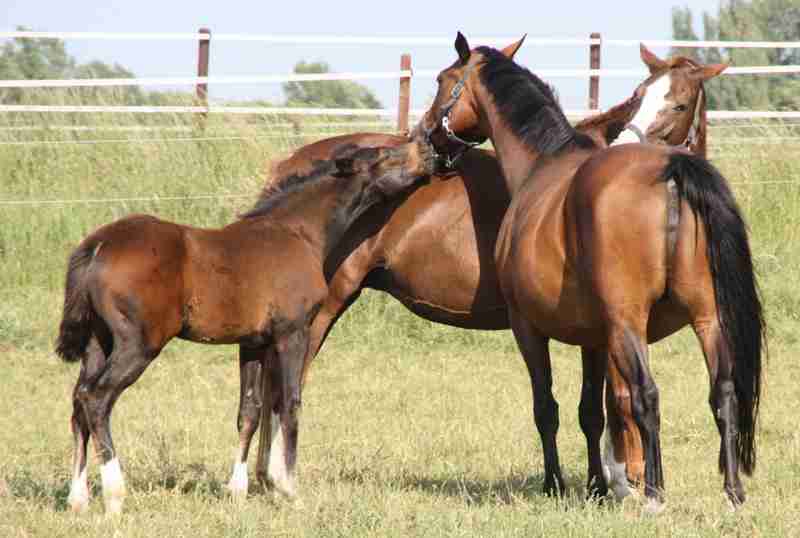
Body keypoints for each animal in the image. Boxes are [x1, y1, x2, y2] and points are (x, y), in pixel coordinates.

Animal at [54, 138, 438, 510]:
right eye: (384, 155)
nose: (429, 150)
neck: (298, 232)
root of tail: (97, 245)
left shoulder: (253, 342)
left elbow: (250, 410)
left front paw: (237, 491)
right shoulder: (293, 333)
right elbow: (290, 402)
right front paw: (289, 488)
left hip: (97, 341)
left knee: (78, 400)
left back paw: (78, 497)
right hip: (138, 344)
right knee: (97, 398)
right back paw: (114, 494)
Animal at [248, 46, 720, 498]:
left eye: (679, 104)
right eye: (640, 96)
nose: (428, 141)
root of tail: (286, 168)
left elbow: (603, 406)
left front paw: (613, 482)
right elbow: (612, 400)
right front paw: (623, 481)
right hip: (319, 311)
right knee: (282, 386)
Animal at [418, 33, 764, 506]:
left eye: (442, 80)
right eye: (637, 96)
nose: (427, 134)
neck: (541, 164)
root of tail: (671, 169)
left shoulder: (528, 328)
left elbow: (547, 407)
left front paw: (556, 484)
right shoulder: (595, 338)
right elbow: (591, 412)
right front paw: (598, 486)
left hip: (630, 322)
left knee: (648, 395)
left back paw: (654, 492)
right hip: (707, 318)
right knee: (723, 393)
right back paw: (732, 492)